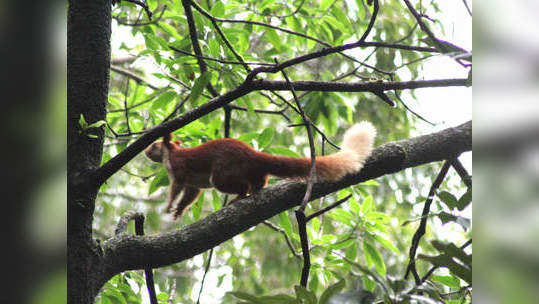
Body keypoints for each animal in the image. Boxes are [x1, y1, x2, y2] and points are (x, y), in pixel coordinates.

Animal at [146, 120, 378, 218]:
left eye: (153, 145)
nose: (146, 152)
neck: (170, 154)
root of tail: (252, 153)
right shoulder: (191, 183)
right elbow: (191, 193)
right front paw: (178, 210)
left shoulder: (178, 167)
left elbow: (177, 187)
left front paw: (169, 206)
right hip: (251, 171)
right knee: (259, 181)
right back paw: (254, 191)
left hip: (225, 169)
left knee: (230, 183)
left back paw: (239, 196)